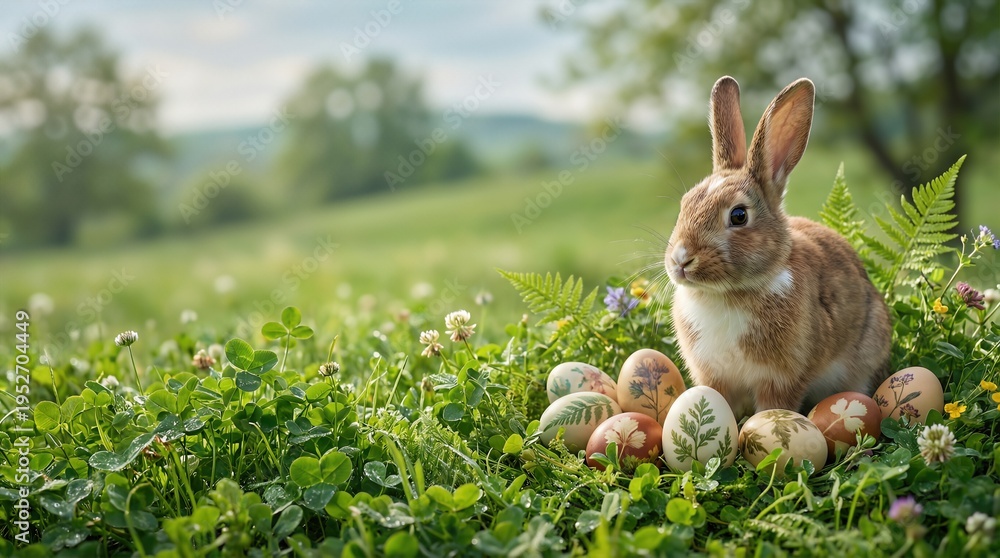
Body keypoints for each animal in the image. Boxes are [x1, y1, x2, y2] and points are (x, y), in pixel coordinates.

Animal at [664, 76, 892, 419]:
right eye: (685, 203)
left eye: (739, 215)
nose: (681, 259)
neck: (728, 295)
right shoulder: (714, 377)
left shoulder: (782, 379)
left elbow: (772, 410)